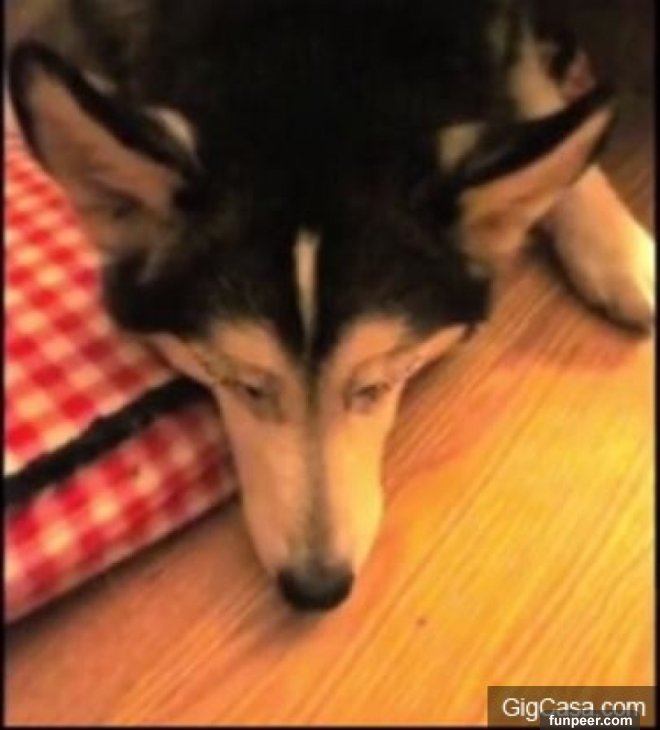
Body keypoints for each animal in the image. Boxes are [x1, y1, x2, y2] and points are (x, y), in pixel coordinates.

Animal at [6, 0, 654, 611]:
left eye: (376, 385)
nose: (316, 590)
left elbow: (538, 94)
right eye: (242, 384)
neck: (313, 43)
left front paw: (617, 243)